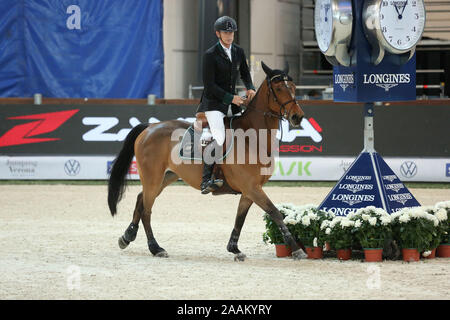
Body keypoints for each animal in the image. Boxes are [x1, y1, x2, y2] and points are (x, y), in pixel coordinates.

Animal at [107, 61, 308, 262]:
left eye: (293, 87)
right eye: (279, 88)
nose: (298, 117)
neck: (252, 138)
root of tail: (150, 127)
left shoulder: (249, 190)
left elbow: (240, 218)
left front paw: (234, 248)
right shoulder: (252, 188)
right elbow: (275, 212)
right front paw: (296, 249)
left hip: (165, 178)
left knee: (141, 200)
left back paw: (127, 236)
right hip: (152, 179)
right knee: (147, 210)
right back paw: (155, 248)